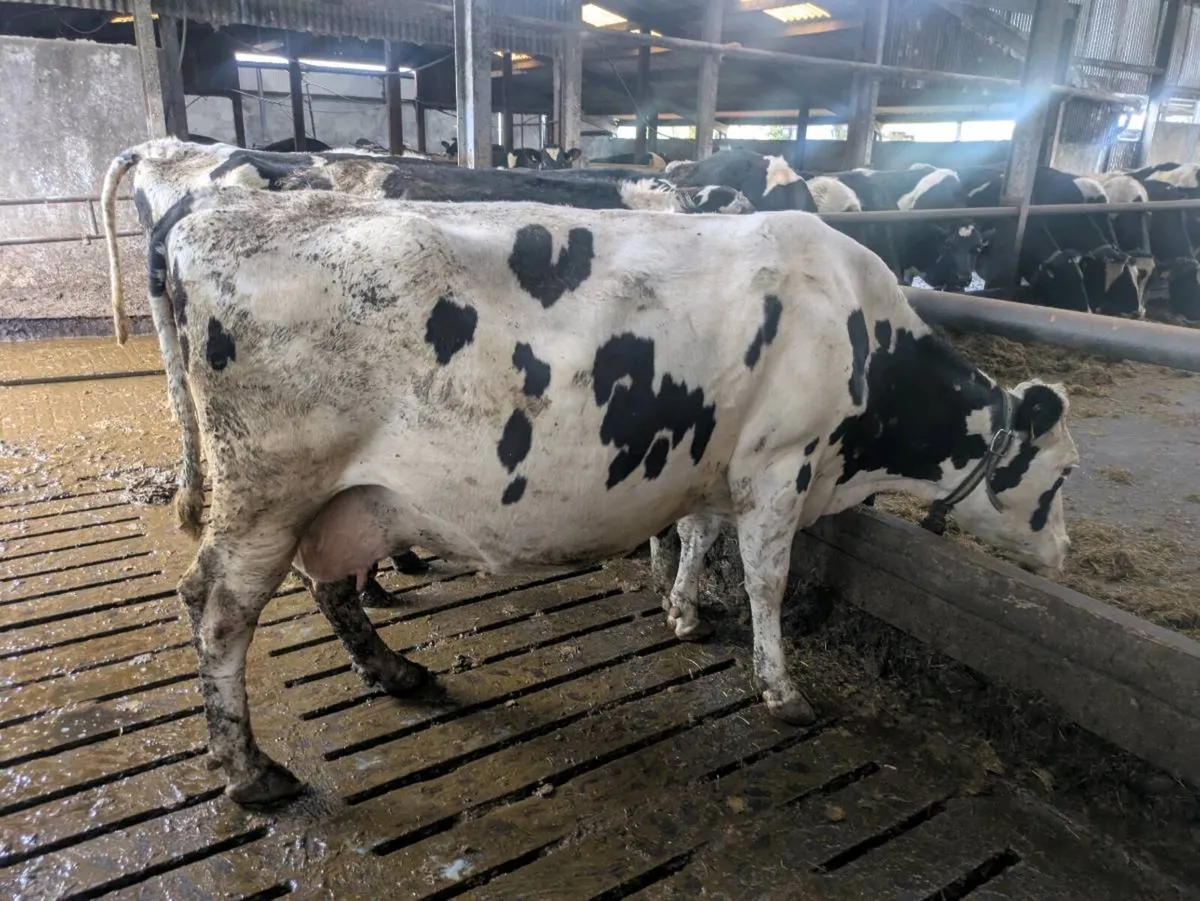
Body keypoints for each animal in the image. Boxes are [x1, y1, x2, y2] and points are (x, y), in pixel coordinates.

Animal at [110, 181, 1078, 807]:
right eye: (1063, 475)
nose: (1067, 554)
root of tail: (213, 208)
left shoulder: (717, 458)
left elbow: (699, 537)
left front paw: (684, 610)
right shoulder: (781, 461)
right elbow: (766, 581)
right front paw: (780, 687)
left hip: (335, 494)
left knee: (329, 582)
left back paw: (394, 672)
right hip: (269, 485)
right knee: (219, 608)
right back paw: (249, 770)